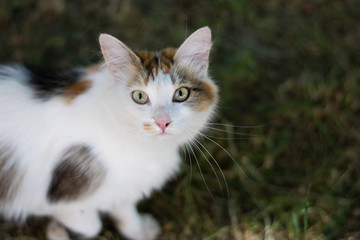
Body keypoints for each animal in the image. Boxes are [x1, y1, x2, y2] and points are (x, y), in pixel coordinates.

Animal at [0, 26, 217, 240]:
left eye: (181, 94)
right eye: (140, 96)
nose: (162, 122)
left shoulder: (125, 183)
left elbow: (124, 207)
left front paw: (137, 230)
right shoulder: (58, 198)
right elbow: (90, 224)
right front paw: (58, 231)